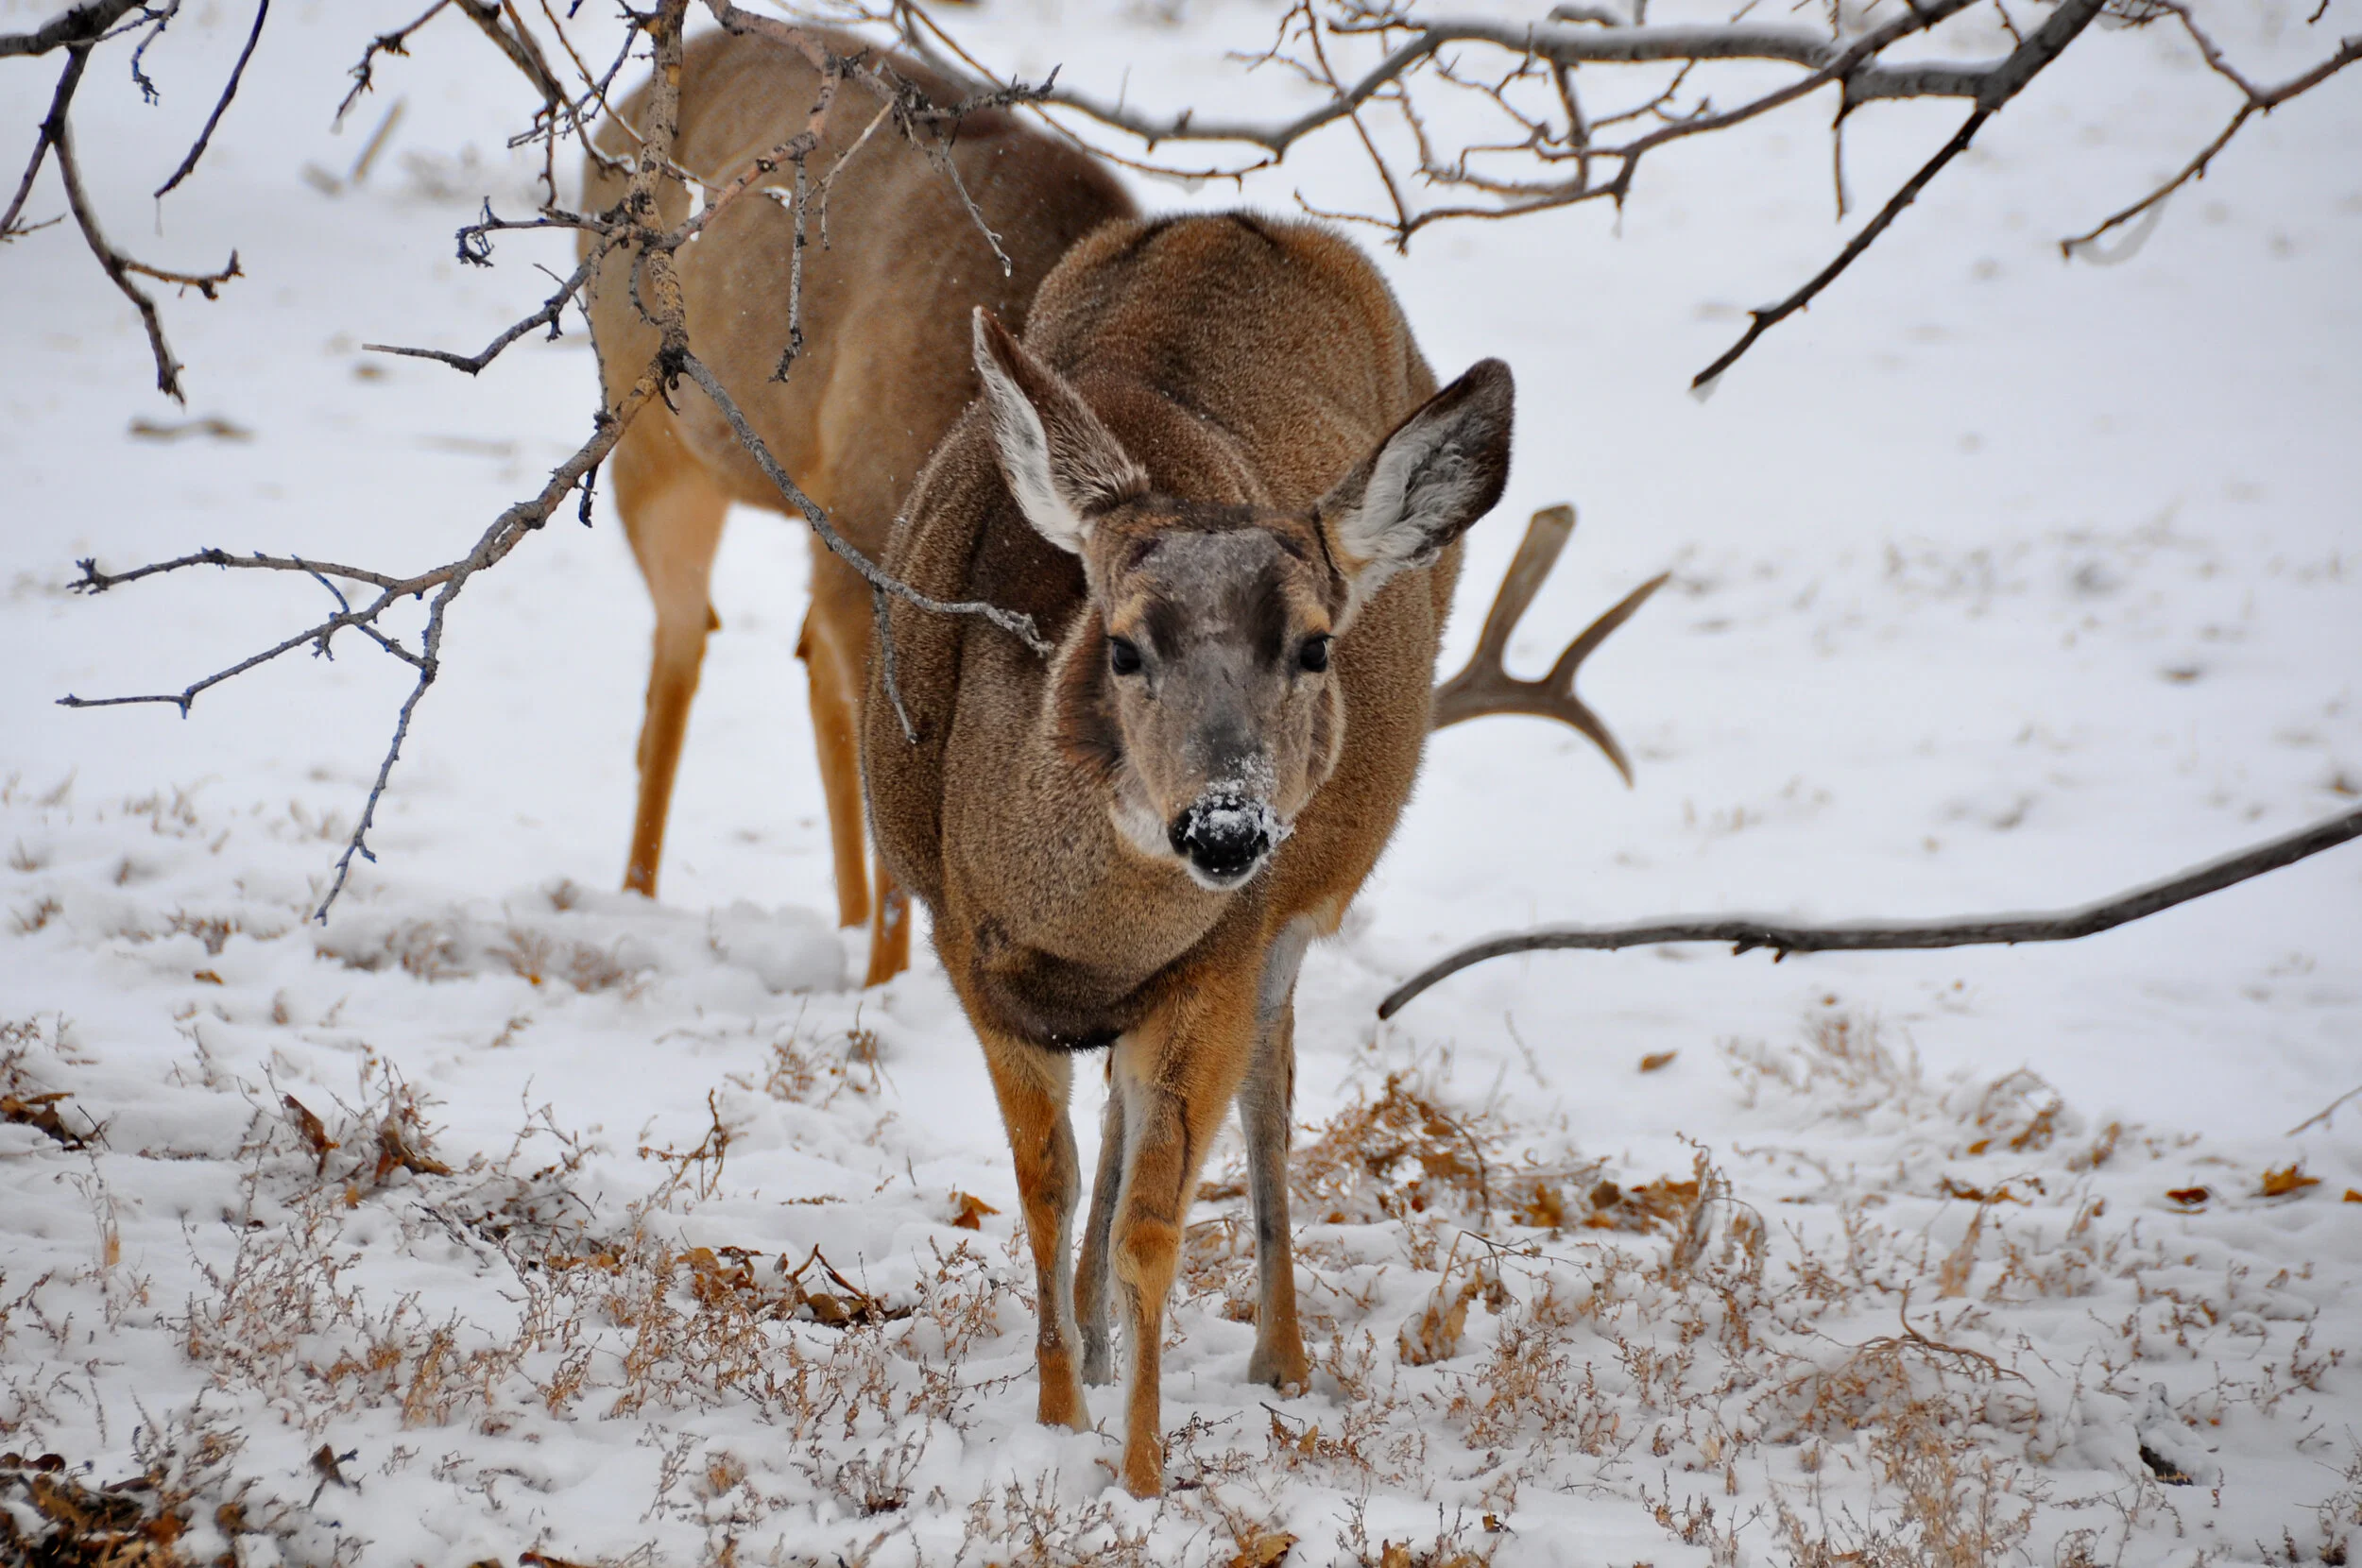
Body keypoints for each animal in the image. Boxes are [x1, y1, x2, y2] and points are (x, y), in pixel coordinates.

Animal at [580, 25, 1133, 986]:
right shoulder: (874, 525)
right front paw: (887, 981)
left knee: (795, 659)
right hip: (650, 429)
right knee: (686, 637)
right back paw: (640, 896)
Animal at [861, 211, 1660, 1496]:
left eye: (1317, 645)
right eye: (1122, 646)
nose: (1225, 823)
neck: (1071, 946)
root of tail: (1238, 218)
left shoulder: (1219, 958)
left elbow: (1154, 1222)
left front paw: (1139, 1474)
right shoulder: (965, 952)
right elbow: (1046, 1189)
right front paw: (1059, 1415)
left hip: (1293, 914)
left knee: (1267, 1104)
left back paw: (1278, 1358)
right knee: (1130, 1121)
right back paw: (1096, 1338)